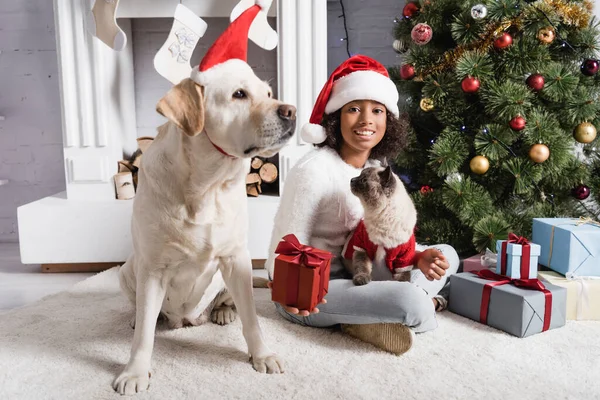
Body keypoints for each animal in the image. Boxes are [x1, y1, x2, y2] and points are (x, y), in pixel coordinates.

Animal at [112, 74, 296, 394]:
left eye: (269, 93)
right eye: (239, 94)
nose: (291, 111)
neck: (206, 185)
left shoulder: (237, 258)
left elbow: (252, 318)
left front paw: (262, 355)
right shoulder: (152, 269)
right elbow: (145, 332)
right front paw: (135, 371)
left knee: (229, 300)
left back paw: (223, 311)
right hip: (127, 269)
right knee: (140, 309)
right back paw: (137, 317)